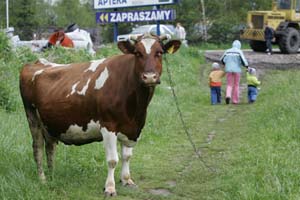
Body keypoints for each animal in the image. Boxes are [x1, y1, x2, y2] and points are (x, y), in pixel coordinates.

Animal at [19, 33, 180, 196]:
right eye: (137, 53)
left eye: (159, 52)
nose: (150, 77)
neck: (135, 107)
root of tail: (38, 62)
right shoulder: (108, 126)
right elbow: (112, 160)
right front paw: (110, 188)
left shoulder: (133, 128)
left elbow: (127, 156)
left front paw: (127, 180)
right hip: (32, 117)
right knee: (38, 148)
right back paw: (43, 179)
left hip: (50, 124)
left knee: (50, 147)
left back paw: (52, 176)